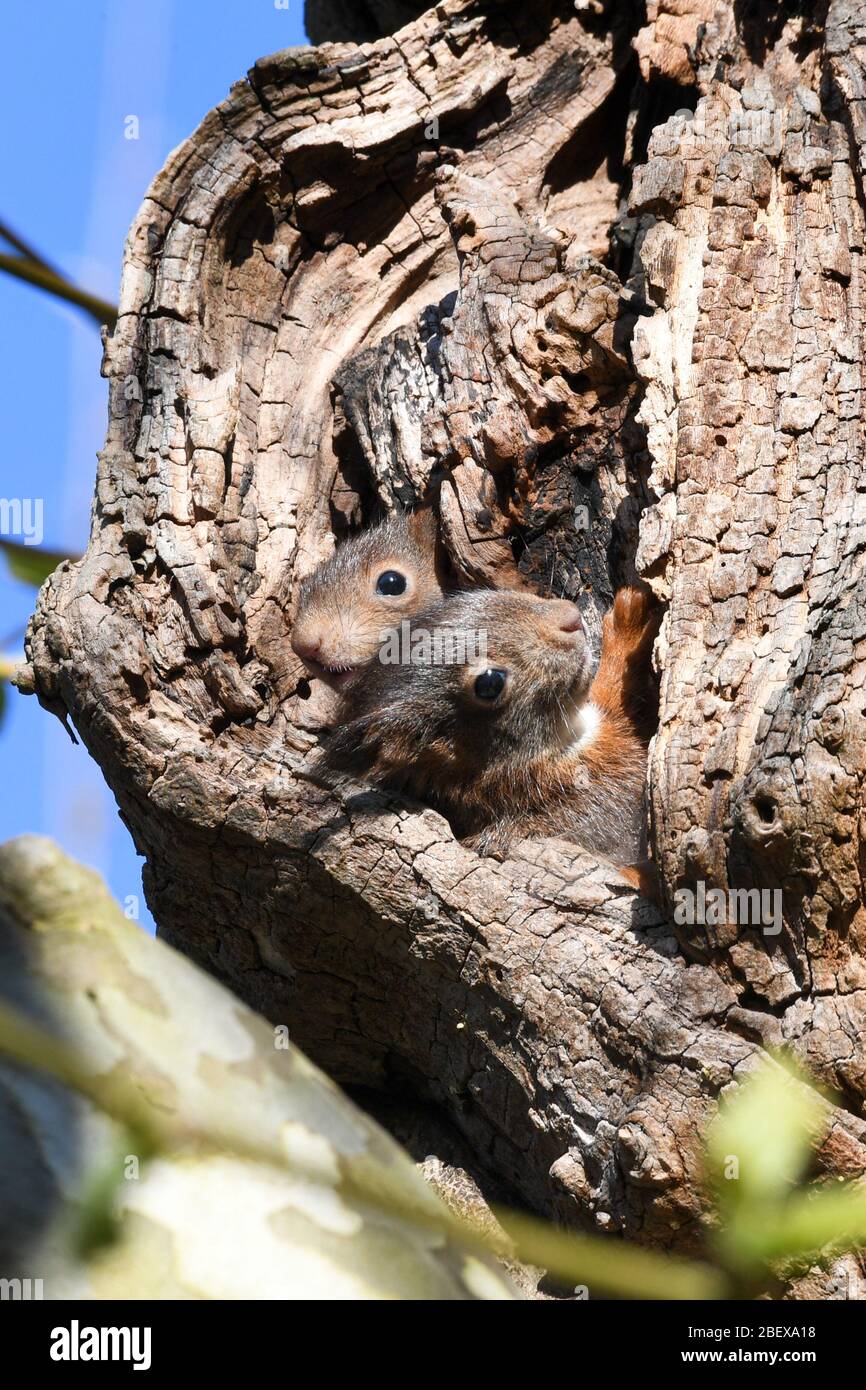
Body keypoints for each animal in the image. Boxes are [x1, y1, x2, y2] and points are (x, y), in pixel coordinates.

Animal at [323, 583, 656, 867]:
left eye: (482, 593)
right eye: (489, 683)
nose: (571, 617)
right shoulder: (605, 791)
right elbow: (614, 693)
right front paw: (629, 618)